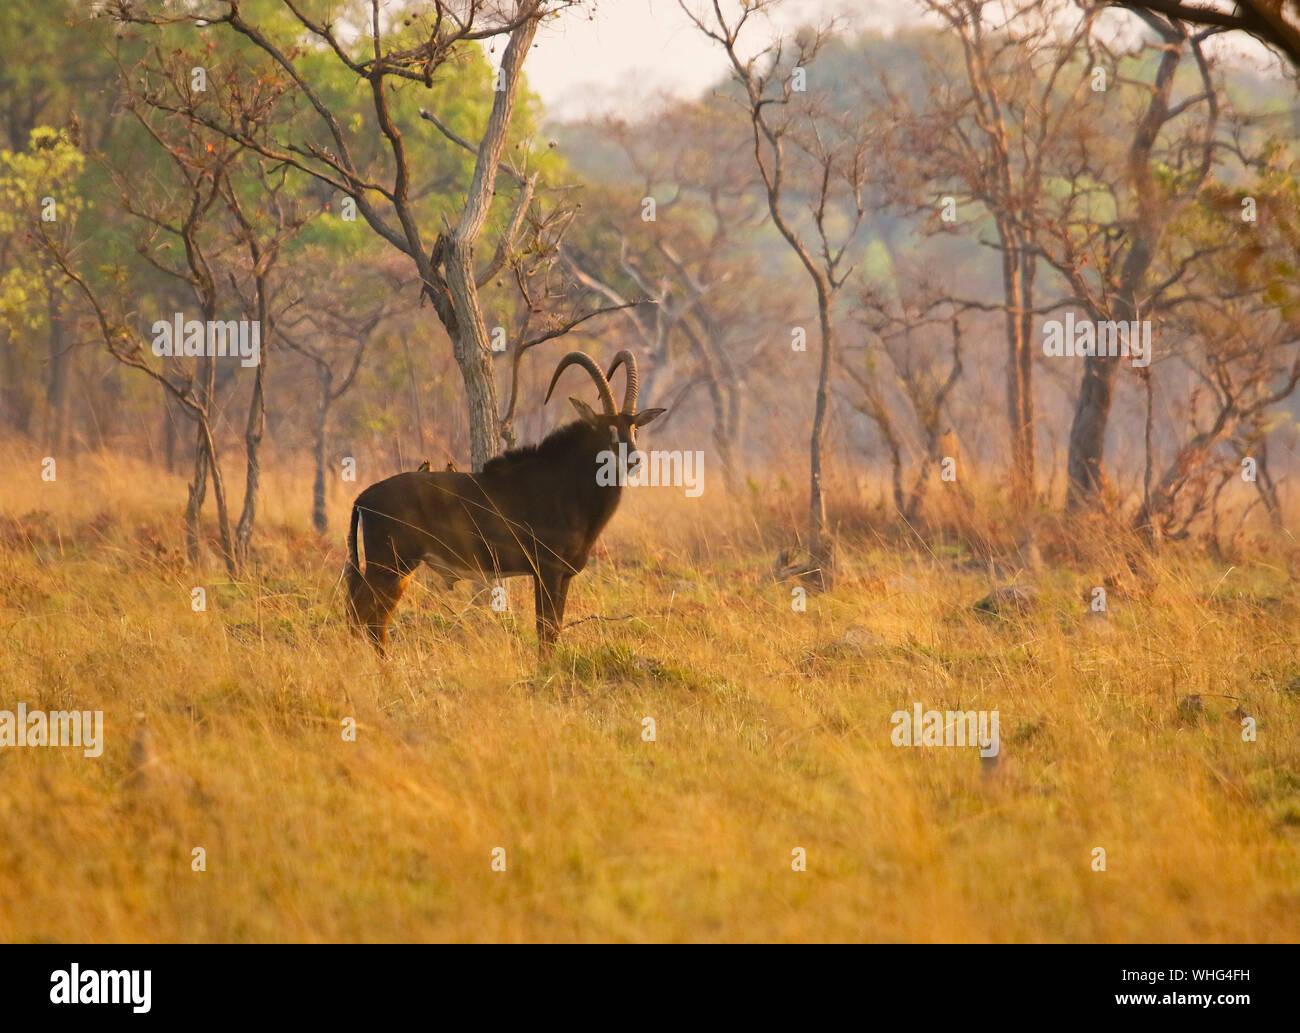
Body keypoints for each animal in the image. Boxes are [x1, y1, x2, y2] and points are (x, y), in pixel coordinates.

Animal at [345, 350, 665, 655]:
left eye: (634, 429)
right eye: (606, 431)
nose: (634, 461)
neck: (568, 486)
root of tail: (363, 498)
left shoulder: (565, 575)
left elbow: (555, 629)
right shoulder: (546, 570)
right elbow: (546, 629)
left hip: (399, 570)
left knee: (374, 619)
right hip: (388, 565)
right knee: (360, 615)